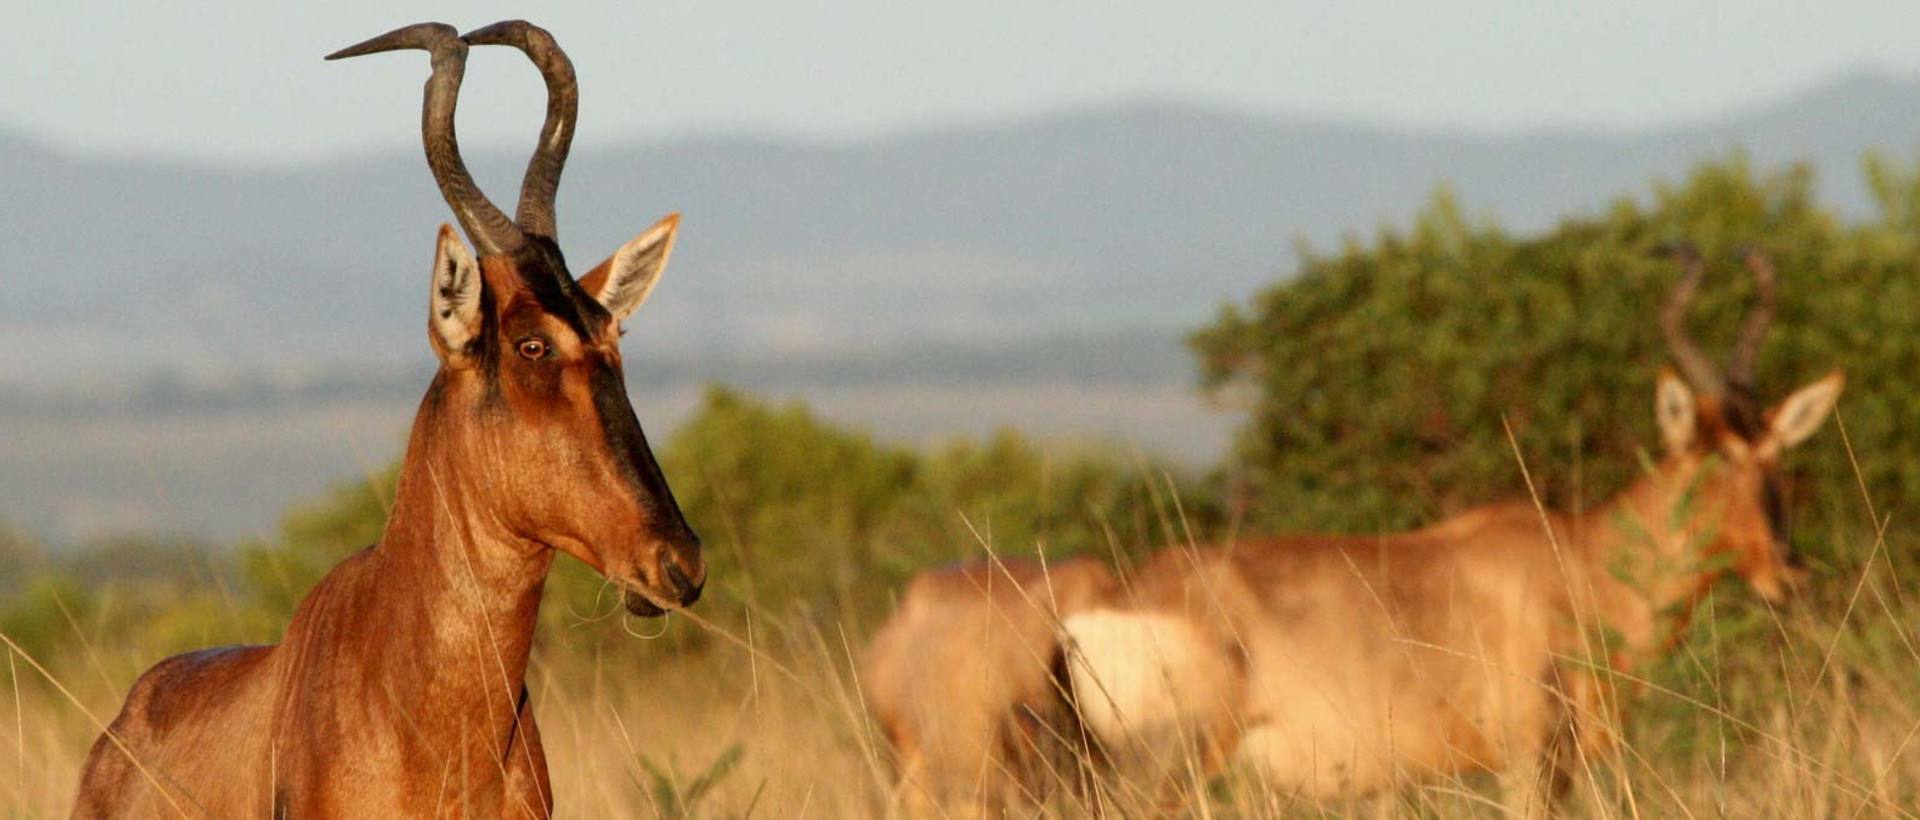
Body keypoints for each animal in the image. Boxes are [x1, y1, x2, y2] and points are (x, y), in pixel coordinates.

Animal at [1067, 247, 1843, 810]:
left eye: (1774, 454)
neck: (1579, 560)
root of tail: (1106, 601)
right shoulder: (1529, 762)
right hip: (1166, 768)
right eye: (1714, 458)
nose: (1790, 574)